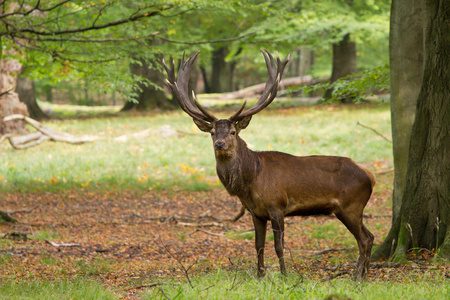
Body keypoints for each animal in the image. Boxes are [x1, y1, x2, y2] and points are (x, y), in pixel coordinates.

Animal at [163, 49, 374, 282]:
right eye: (212, 132)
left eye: (233, 132)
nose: (219, 144)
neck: (250, 181)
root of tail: (370, 176)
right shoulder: (256, 212)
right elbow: (258, 245)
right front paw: (260, 275)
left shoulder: (277, 206)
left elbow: (278, 245)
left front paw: (284, 275)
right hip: (350, 208)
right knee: (371, 236)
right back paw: (364, 274)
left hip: (351, 205)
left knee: (364, 239)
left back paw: (357, 276)